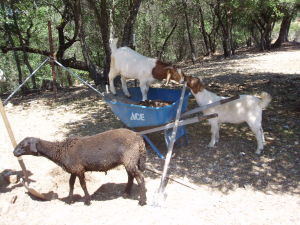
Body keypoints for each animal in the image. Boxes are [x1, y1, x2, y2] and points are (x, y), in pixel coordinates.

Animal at [13, 128, 147, 206]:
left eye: (23, 145)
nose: (14, 152)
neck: (61, 151)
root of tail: (139, 138)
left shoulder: (79, 169)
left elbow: (82, 185)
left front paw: (87, 201)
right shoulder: (73, 170)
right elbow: (71, 184)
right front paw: (69, 200)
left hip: (130, 158)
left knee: (140, 179)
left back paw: (142, 201)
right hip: (129, 160)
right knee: (131, 177)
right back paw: (126, 193)